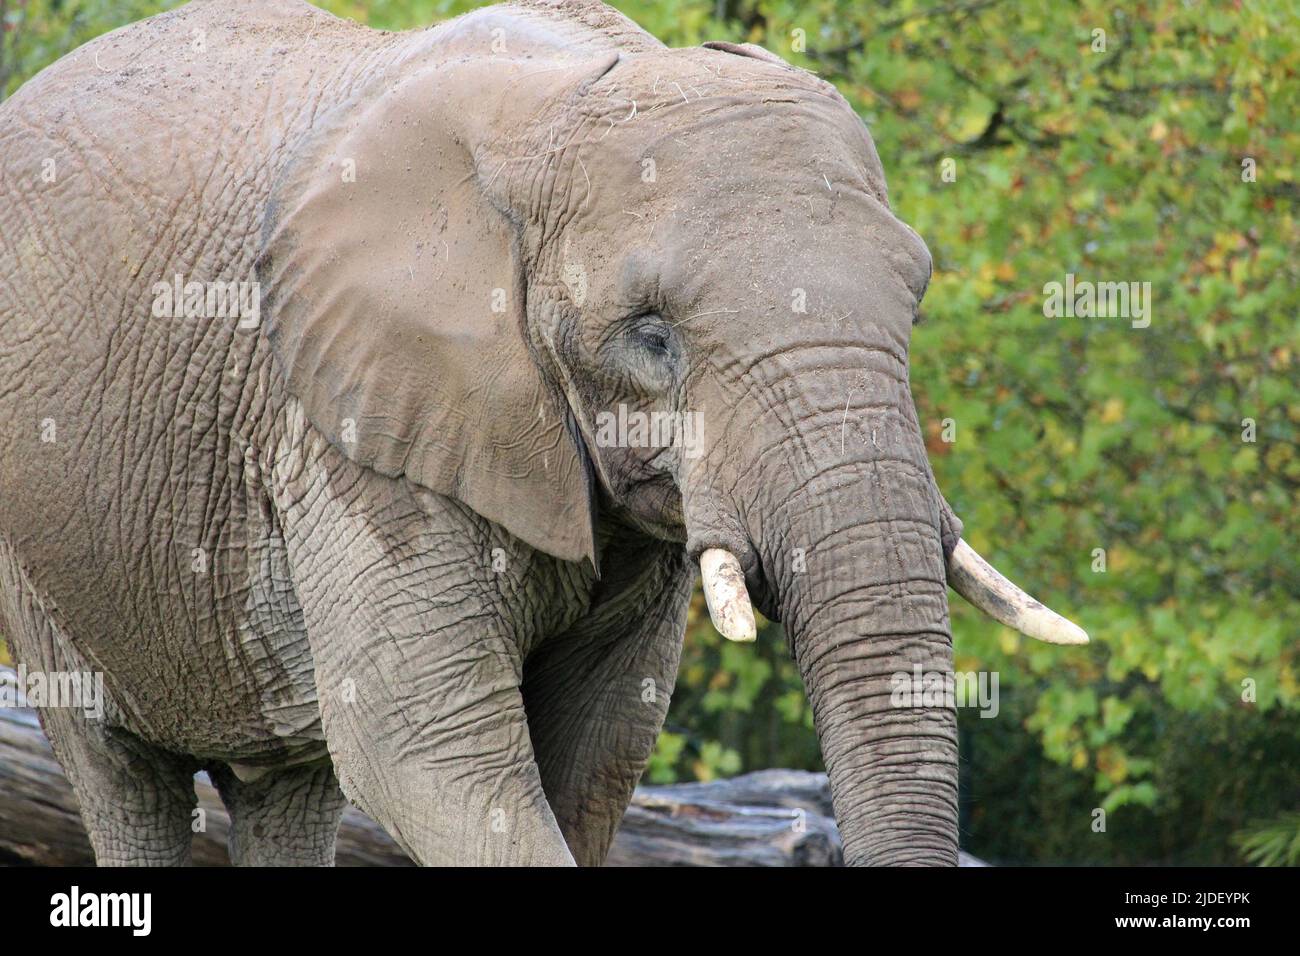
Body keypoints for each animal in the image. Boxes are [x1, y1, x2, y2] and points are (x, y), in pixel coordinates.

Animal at [0, 0, 1087, 866]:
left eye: (915, 299)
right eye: (651, 333)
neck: (569, 96)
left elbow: (600, 745)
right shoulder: (344, 421)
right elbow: (425, 749)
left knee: (288, 787)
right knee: (124, 775)